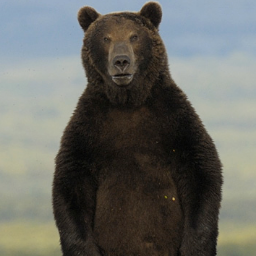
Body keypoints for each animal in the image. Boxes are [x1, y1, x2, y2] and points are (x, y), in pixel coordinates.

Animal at [53, 2, 223, 256]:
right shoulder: (88, 129)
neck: (129, 101)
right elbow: (71, 185)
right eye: (106, 38)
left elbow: (201, 170)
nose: (121, 61)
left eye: (134, 36)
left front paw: (195, 245)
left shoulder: (175, 121)